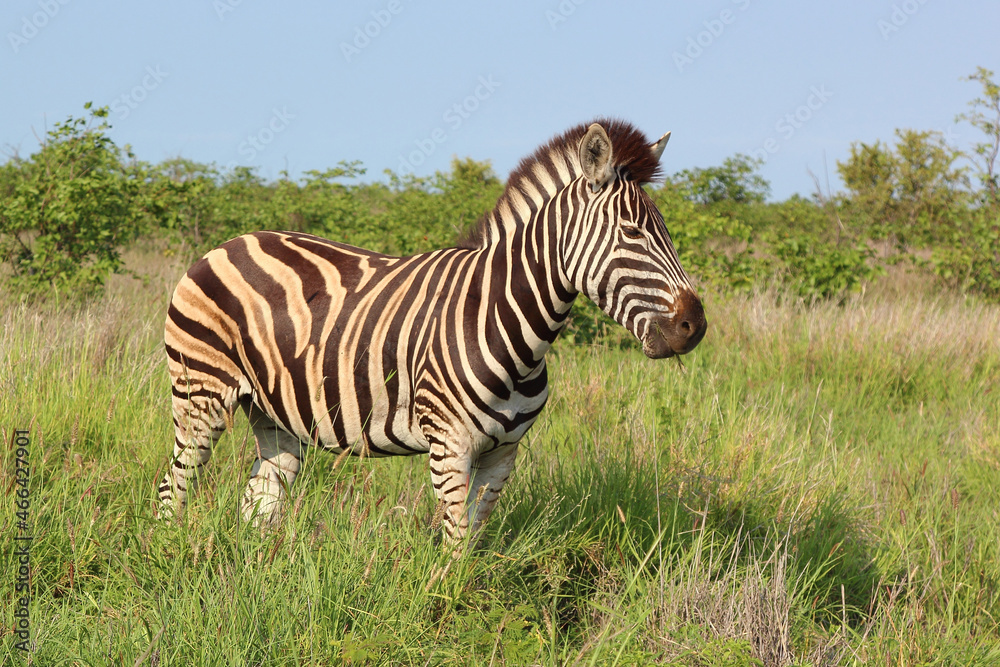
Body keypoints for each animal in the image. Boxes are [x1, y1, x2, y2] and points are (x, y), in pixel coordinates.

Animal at [158, 119, 707, 541]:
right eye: (631, 233)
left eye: (668, 232)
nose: (694, 326)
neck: (509, 321)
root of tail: (228, 242)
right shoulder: (449, 445)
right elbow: (456, 545)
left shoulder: (503, 454)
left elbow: (476, 543)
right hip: (201, 395)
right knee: (173, 487)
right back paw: (172, 561)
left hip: (275, 414)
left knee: (258, 504)